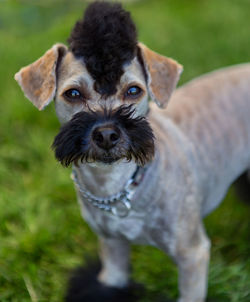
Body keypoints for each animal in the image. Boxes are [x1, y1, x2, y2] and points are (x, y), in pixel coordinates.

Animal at [14, 2, 250, 302]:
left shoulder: (192, 254)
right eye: (73, 94)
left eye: (134, 90)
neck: (117, 188)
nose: (106, 133)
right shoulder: (112, 249)